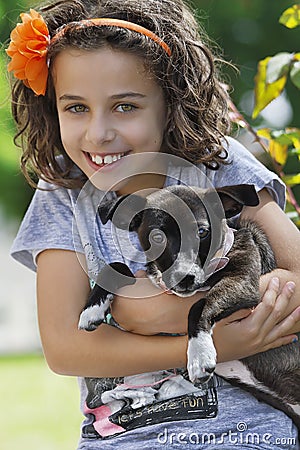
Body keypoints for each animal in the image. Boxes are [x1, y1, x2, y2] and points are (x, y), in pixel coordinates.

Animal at [79, 184, 300, 428]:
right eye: (157, 237)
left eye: (202, 232)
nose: (184, 277)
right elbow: (116, 266)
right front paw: (92, 308)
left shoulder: (242, 283)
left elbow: (198, 306)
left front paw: (199, 354)